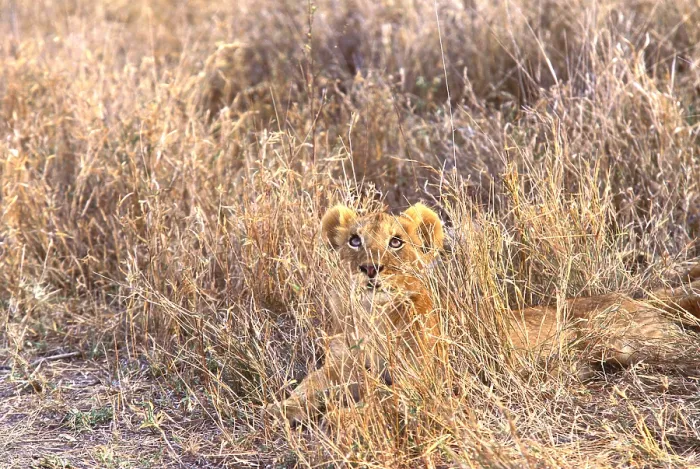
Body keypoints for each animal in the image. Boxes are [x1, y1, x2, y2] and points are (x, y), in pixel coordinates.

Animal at [265, 203, 700, 425]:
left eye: (396, 242)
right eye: (355, 241)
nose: (370, 269)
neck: (374, 318)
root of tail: (636, 297)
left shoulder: (426, 384)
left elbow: (380, 400)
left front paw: (335, 418)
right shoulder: (341, 365)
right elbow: (309, 386)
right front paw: (283, 409)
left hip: (638, 343)